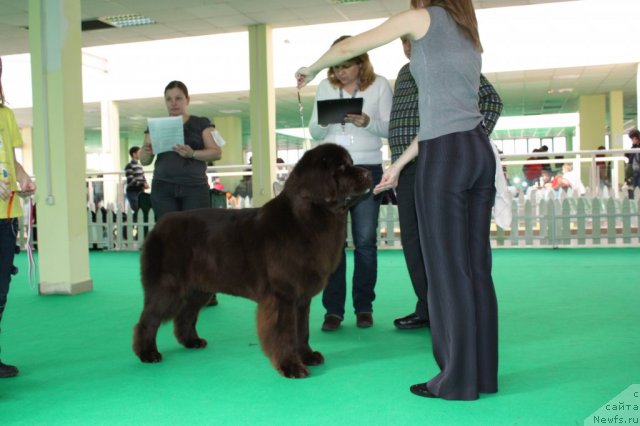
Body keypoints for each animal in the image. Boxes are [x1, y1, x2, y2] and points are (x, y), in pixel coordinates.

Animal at [133, 144, 372, 380]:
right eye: (341, 167)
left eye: (350, 163)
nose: (369, 174)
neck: (310, 216)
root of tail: (158, 225)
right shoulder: (283, 295)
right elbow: (285, 332)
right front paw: (291, 366)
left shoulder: (302, 298)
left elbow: (302, 330)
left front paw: (307, 356)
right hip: (167, 287)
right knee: (148, 319)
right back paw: (148, 353)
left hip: (199, 289)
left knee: (185, 314)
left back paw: (192, 341)